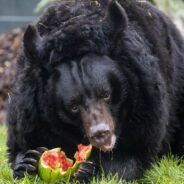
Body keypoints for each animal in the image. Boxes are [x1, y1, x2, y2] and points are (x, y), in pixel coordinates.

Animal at [6, 0, 184, 181]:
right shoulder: (30, 111)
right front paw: (28, 162)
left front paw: (90, 169)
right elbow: (22, 141)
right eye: (73, 107)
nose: (101, 134)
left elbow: (135, 155)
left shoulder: (145, 103)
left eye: (106, 94)